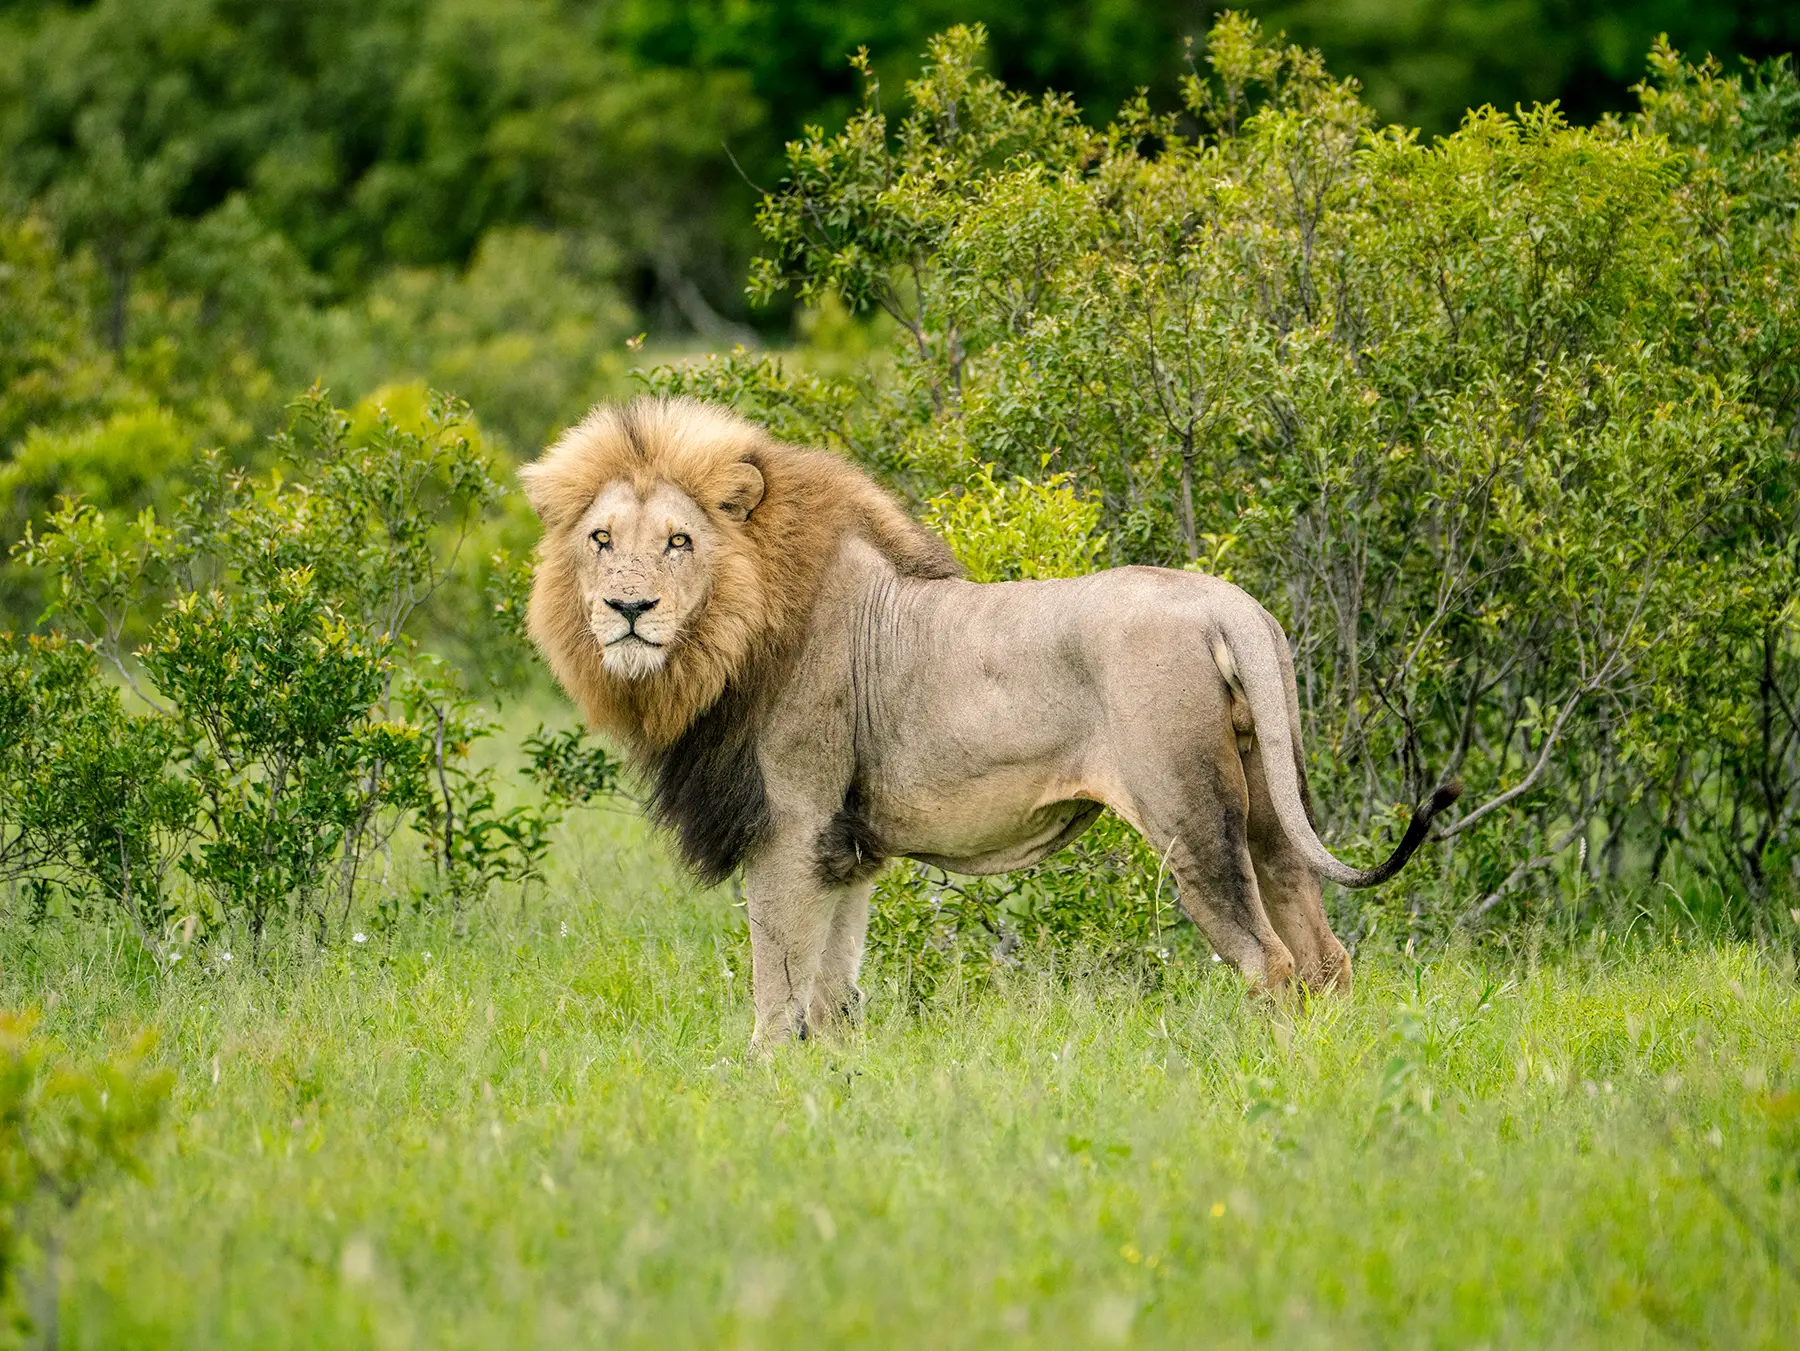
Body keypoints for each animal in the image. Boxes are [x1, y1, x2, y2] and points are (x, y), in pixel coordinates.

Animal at [522, 397, 1460, 1048]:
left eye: (678, 541)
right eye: (601, 538)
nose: (628, 609)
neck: (727, 636)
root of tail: (1228, 603)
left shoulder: (791, 827)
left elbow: (776, 988)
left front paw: (763, 1084)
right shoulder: (848, 848)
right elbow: (832, 991)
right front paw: (836, 1078)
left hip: (1189, 814)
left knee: (1272, 963)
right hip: (1266, 801)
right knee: (1325, 954)